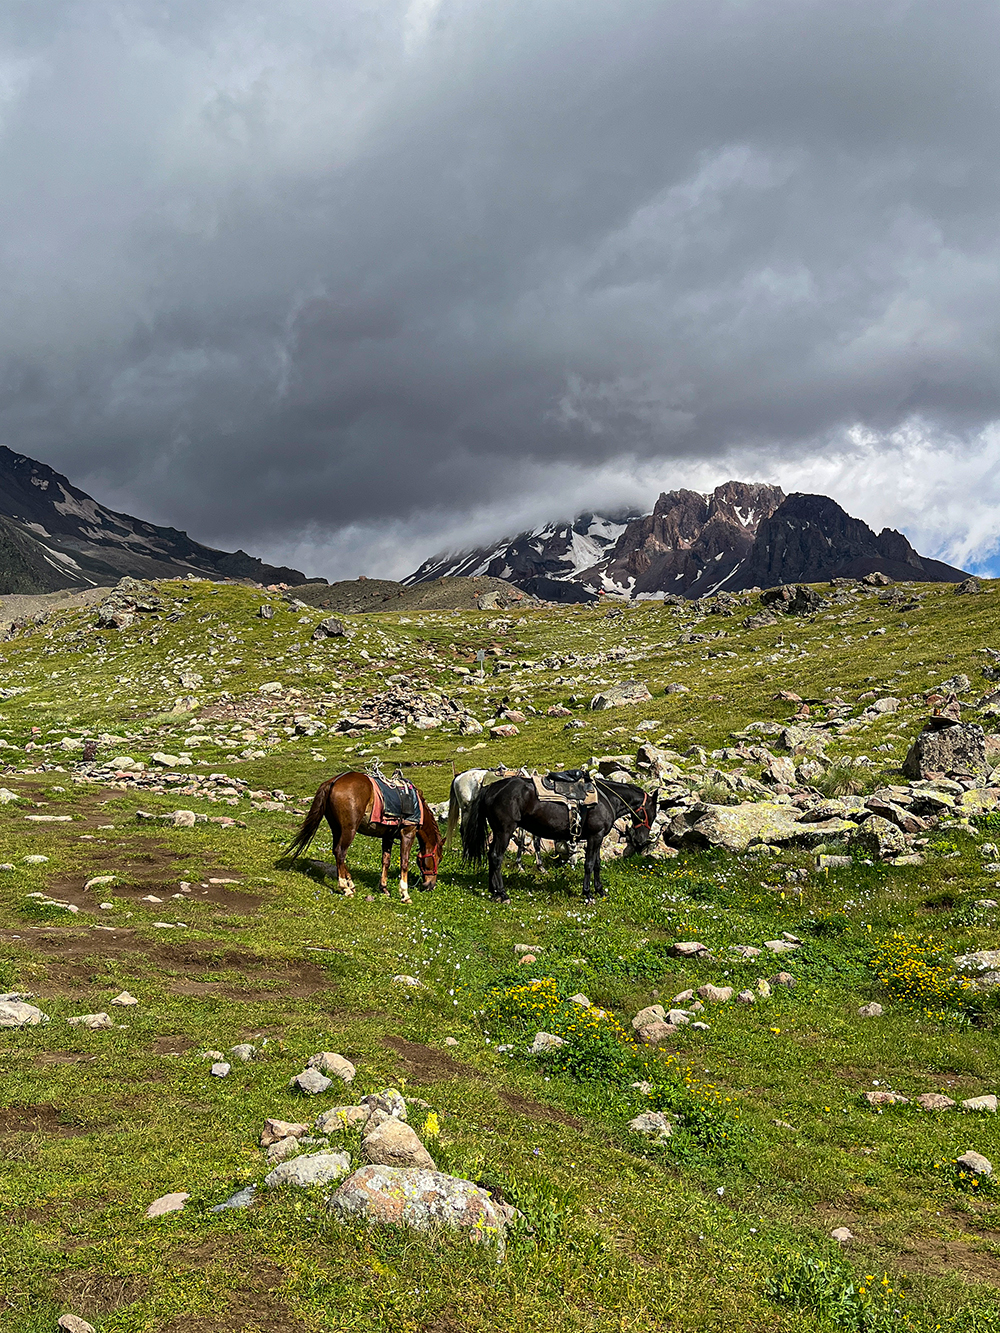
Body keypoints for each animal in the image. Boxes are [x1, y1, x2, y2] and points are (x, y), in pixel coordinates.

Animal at [282, 773, 437, 906]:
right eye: (437, 859)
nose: (430, 886)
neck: (418, 807)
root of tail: (333, 781)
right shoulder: (408, 833)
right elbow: (404, 863)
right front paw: (405, 894)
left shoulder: (388, 836)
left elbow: (385, 861)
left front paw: (384, 888)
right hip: (349, 829)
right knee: (340, 852)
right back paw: (345, 888)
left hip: (336, 828)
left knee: (336, 851)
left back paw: (350, 883)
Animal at [461, 773, 658, 906]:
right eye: (652, 813)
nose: (641, 840)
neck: (605, 799)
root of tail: (490, 788)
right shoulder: (595, 836)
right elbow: (589, 864)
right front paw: (588, 894)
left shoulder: (598, 837)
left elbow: (597, 864)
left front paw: (600, 890)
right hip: (505, 831)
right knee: (496, 857)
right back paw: (502, 894)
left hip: (498, 831)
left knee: (490, 855)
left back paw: (492, 890)